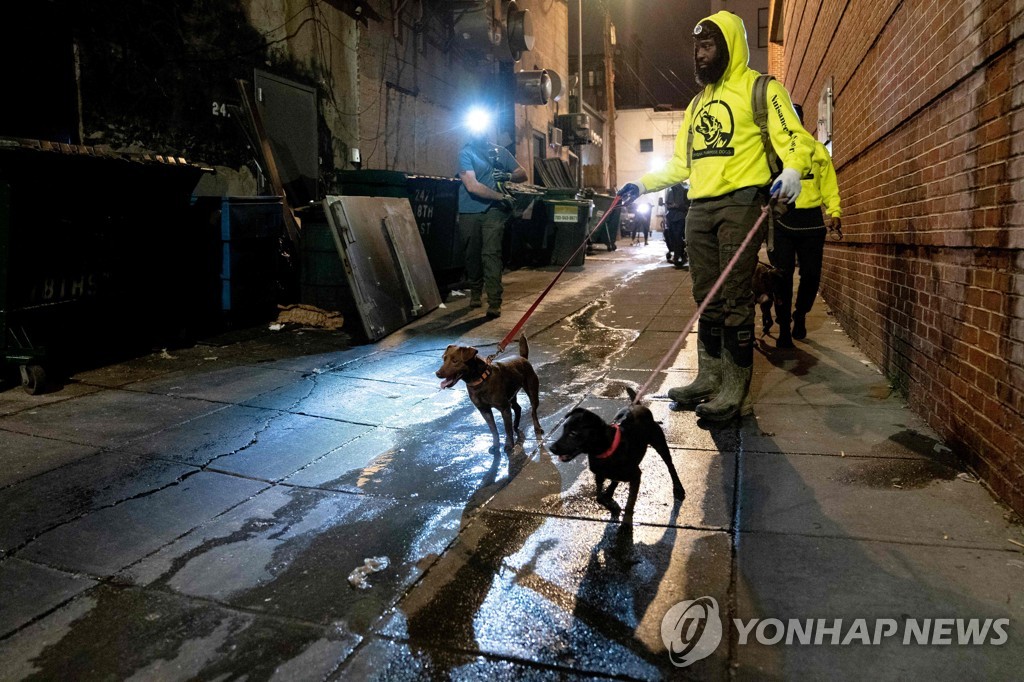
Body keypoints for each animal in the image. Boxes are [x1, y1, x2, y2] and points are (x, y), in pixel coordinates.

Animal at [548, 387, 684, 516]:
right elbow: (599, 497)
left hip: (660, 443)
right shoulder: (599, 475)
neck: (605, 452)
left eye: (573, 433)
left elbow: (629, 506)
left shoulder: (636, 477)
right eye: (563, 430)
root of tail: (637, 405)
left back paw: (678, 488)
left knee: (670, 465)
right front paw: (611, 503)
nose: (551, 448)